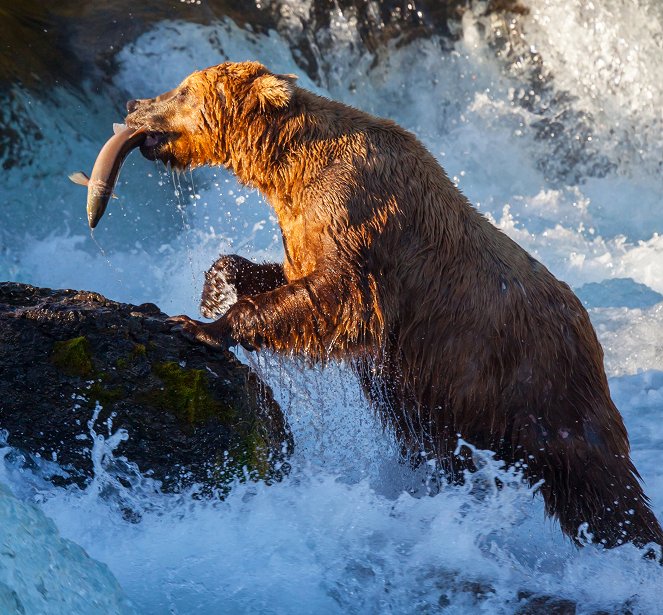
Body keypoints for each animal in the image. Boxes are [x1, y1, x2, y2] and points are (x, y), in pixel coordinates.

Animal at [124, 60, 663, 552]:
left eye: (183, 89)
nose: (133, 105)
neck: (290, 169)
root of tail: (590, 329)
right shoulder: (305, 226)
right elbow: (291, 278)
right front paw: (216, 286)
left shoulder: (359, 217)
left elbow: (338, 299)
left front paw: (198, 325)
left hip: (538, 385)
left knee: (599, 483)